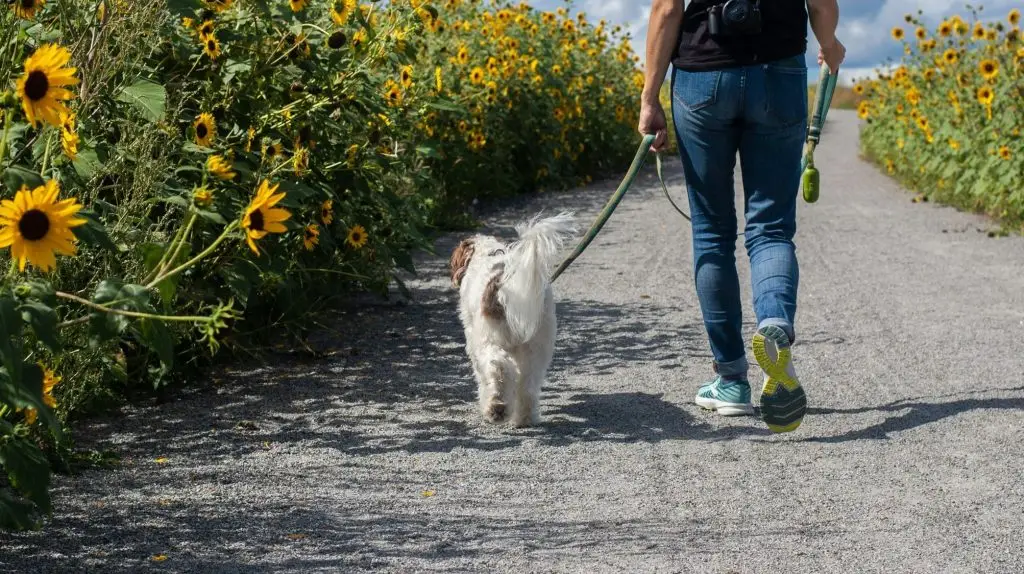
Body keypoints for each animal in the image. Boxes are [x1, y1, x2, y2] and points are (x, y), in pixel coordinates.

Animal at [448, 210, 577, 425]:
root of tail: (503, 282)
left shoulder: (473, 340)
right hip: (537, 345)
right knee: (528, 385)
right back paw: (524, 418)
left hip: (490, 340)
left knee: (499, 367)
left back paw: (496, 408)